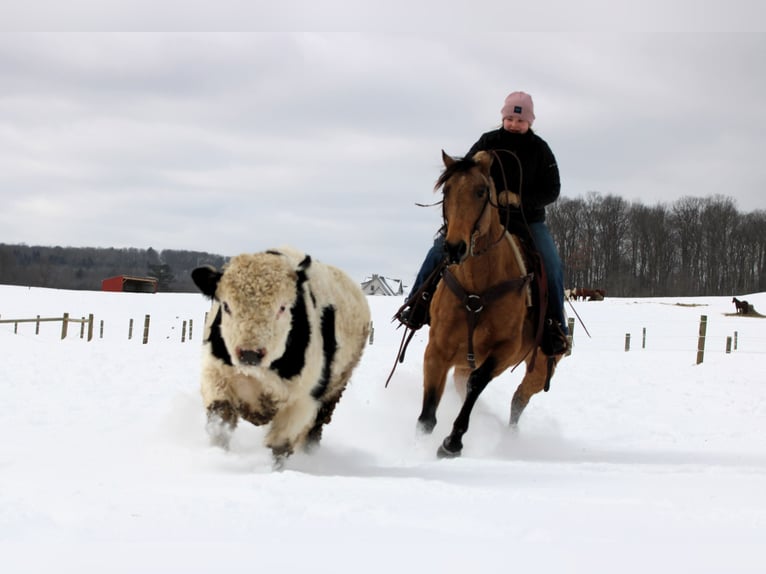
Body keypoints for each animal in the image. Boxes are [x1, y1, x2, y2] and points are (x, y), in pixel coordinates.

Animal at [417, 150, 563, 458]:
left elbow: (477, 383)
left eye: (481, 191)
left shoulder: (505, 350)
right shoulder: (437, 348)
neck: (478, 286)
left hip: (540, 367)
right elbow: (428, 412)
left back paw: (510, 437)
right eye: (447, 190)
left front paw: (452, 443)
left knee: (519, 400)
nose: (454, 247)